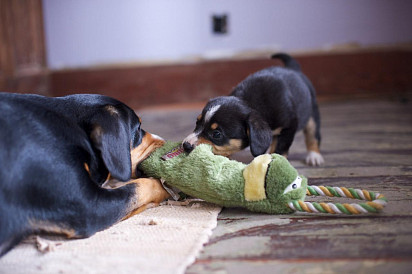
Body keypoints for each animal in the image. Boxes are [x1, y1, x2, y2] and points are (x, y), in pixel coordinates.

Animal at [184, 53, 326, 165]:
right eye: (197, 123)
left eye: (217, 134)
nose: (185, 145)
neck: (252, 103)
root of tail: (293, 69)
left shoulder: (289, 127)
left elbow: (280, 149)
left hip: (312, 114)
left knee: (313, 135)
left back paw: (314, 156)